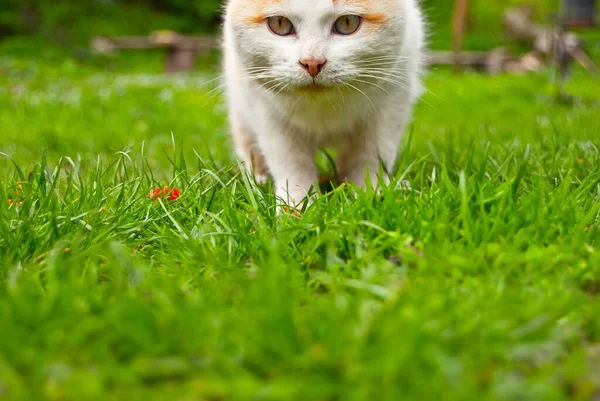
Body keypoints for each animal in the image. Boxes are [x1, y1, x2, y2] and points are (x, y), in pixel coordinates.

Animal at [223, 1, 424, 208]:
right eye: (279, 23)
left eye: (347, 22)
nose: (312, 62)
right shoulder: (265, 109)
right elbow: (290, 160)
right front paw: (297, 205)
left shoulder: (391, 103)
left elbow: (371, 155)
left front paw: (371, 197)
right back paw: (258, 180)